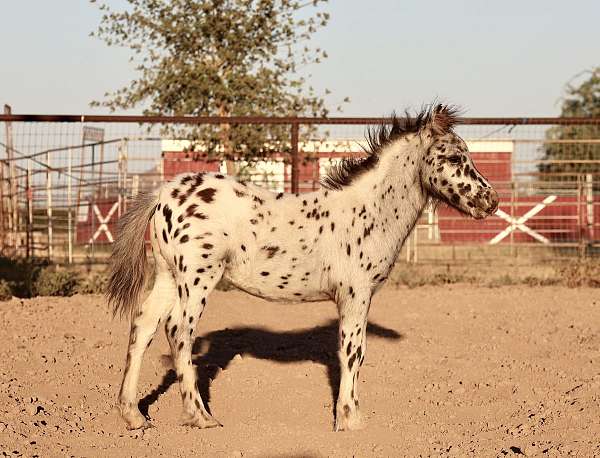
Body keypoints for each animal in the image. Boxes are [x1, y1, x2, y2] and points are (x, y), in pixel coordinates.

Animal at [109, 104, 502, 430]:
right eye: (454, 157)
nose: (492, 200)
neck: (368, 212)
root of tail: (164, 193)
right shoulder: (356, 294)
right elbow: (353, 352)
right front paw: (349, 420)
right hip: (196, 278)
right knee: (178, 331)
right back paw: (200, 416)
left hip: (167, 275)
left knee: (143, 325)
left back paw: (133, 416)